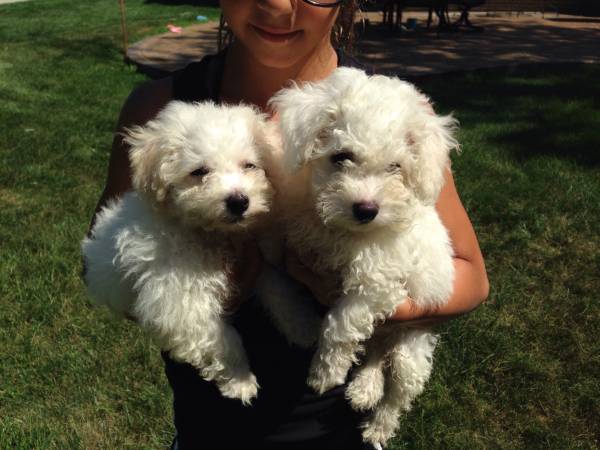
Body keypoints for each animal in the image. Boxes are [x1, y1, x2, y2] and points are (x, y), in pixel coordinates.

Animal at [81, 101, 274, 404]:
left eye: (249, 165)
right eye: (199, 172)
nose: (239, 201)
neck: (204, 231)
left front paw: (302, 324)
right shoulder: (179, 304)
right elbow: (225, 339)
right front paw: (240, 380)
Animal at [270, 67, 460, 446]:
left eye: (395, 167)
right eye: (341, 157)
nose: (366, 209)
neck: (342, 231)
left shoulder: (378, 283)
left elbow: (341, 322)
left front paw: (324, 372)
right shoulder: (288, 246)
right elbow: (276, 286)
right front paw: (300, 325)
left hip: (410, 346)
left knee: (397, 391)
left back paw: (377, 426)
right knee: (373, 350)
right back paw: (363, 389)